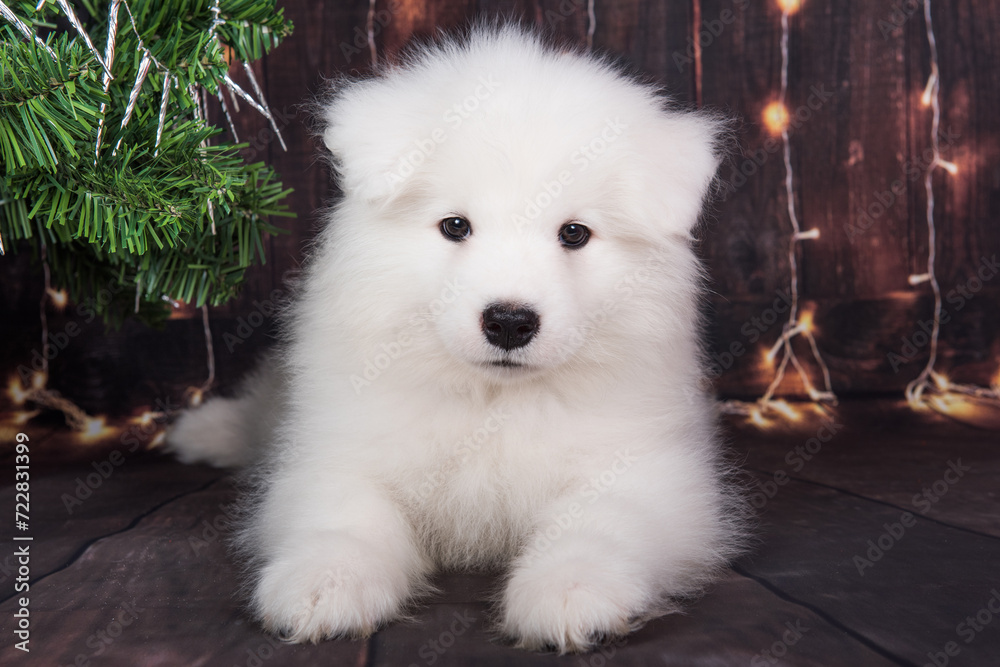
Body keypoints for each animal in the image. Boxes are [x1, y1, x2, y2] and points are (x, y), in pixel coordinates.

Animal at [168, 24, 748, 652]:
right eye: (455, 226)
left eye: (574, 234)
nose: (509, 321)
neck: (490, 402)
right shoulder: (340, 449)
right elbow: (345, 517)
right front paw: (324, 583)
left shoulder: (649, 469)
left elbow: (602, 521)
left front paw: (571, 590)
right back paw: (204, 430)